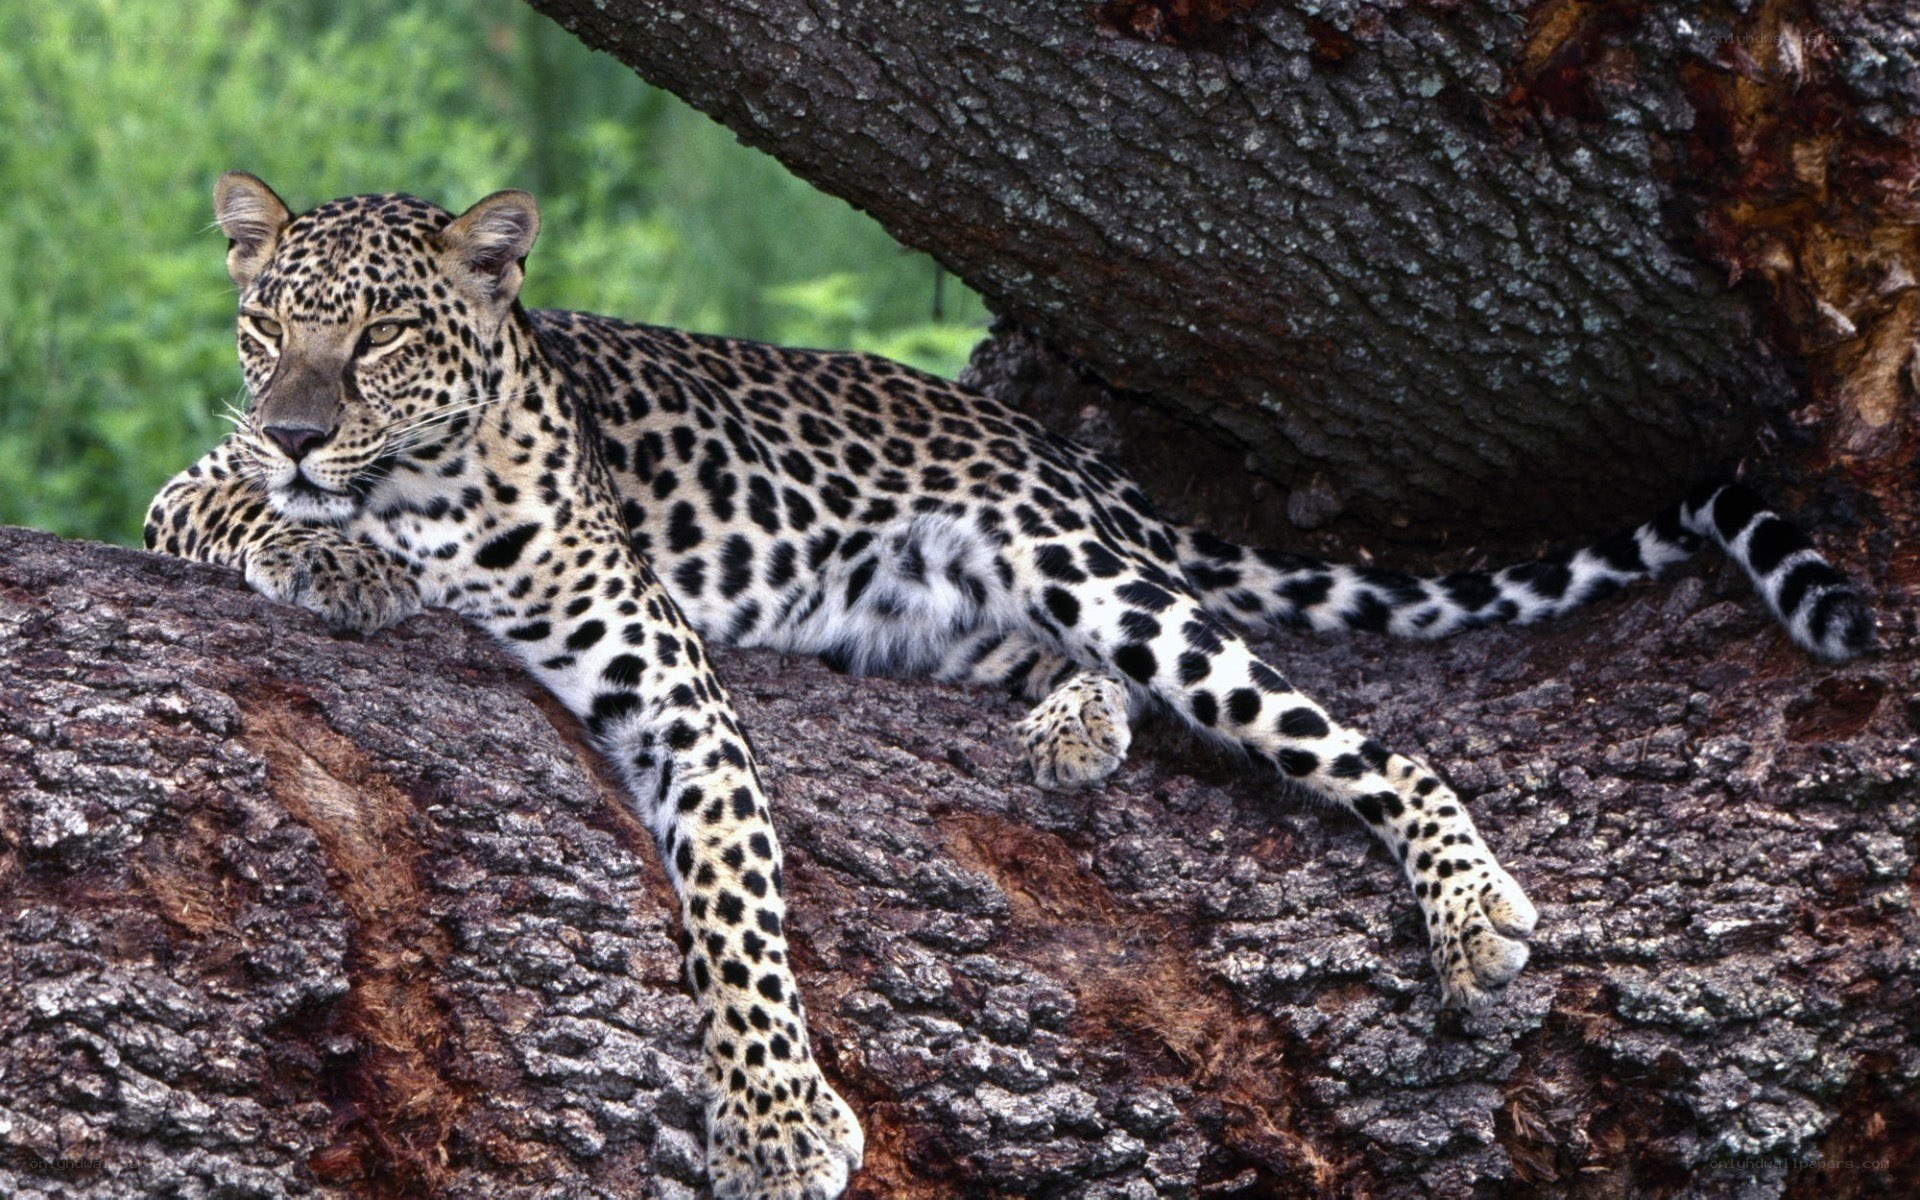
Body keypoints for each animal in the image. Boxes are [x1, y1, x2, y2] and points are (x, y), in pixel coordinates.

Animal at [146, 174, 1876, 1199]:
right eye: (267, 326)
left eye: (379, 335)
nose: (301, 430)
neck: (426, 481)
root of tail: (1048, 446)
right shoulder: (188, 488)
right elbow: (230, 509)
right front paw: (335, 556)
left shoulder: (671, 684)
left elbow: (737, 905)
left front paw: (774, 1119)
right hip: (944, 613)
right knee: (1100, 676)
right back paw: (1071, 720)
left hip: (1088, 570)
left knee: (1353, 732)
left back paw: (1462, 901)